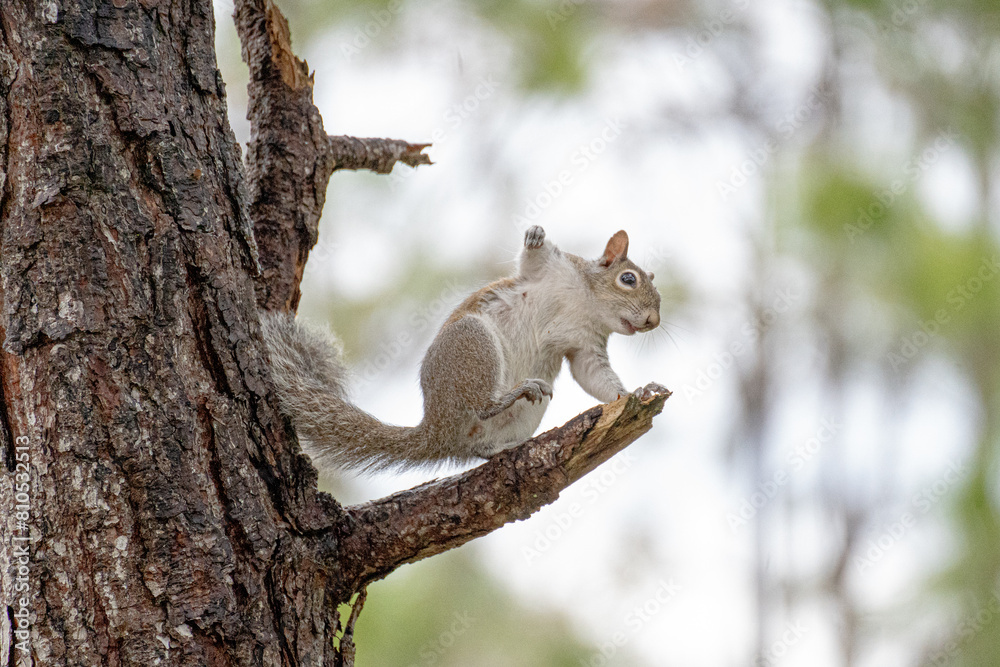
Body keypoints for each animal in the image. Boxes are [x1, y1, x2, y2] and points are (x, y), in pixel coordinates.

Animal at [260, 225, 668, 472]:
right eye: (628, 279)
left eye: (658, 295)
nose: (652, 320)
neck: (587, 303)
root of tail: (437, 428)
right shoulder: (552, 270)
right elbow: (533, 258)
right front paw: (535, 236)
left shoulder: (586, 347)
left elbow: (594, 377)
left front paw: (634, 393)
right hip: (473, 343)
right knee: (482, 404)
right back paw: (515, 392)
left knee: (478, 446)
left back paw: (505, 448)